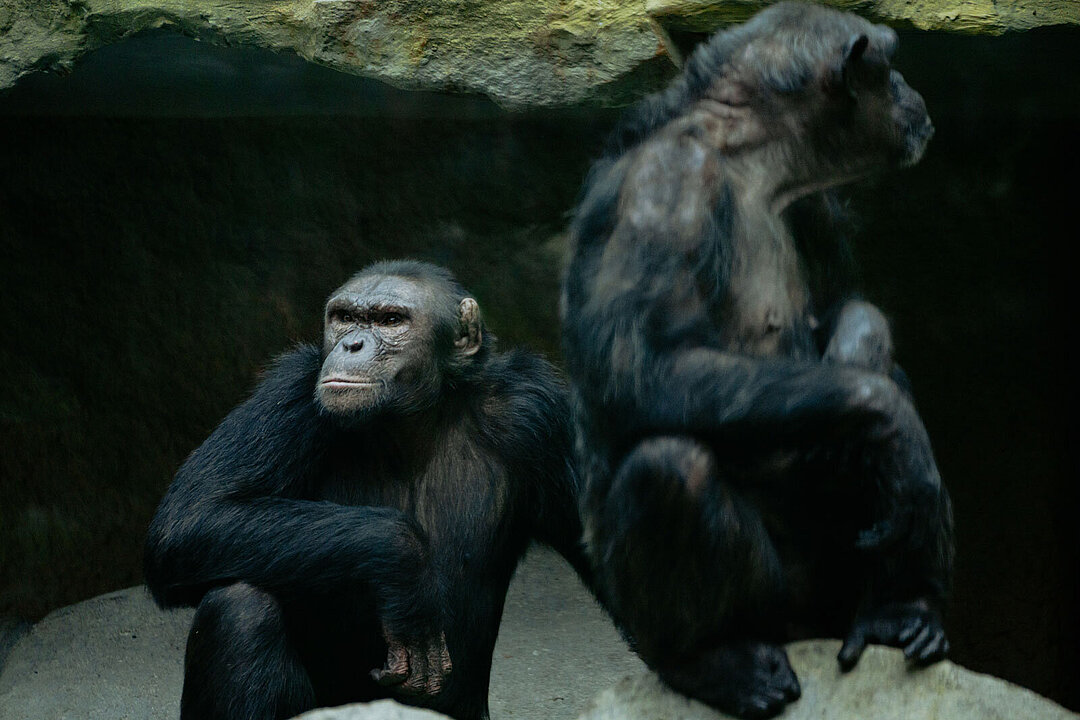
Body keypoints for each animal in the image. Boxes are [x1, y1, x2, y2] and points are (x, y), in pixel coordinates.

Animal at [144, 260, 587, 720]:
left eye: (391, 320)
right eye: (344, 318)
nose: (352, 344)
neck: (409, 423)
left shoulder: (537, 412)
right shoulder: (290, 390)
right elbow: (191, 516)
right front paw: (405, 563)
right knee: (239, 608)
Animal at [561, 2, 959, 716]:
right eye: (889, 62)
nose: (909, 87)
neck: (755, 160)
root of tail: (805, 626)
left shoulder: (816, 203)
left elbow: (847, 300)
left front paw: (859, 348)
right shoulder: (666, 186)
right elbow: (641, 369)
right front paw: (888, 421)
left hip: (831, 595)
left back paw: (902, 610)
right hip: (752, 607)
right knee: (669, 466)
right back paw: (713, 662)